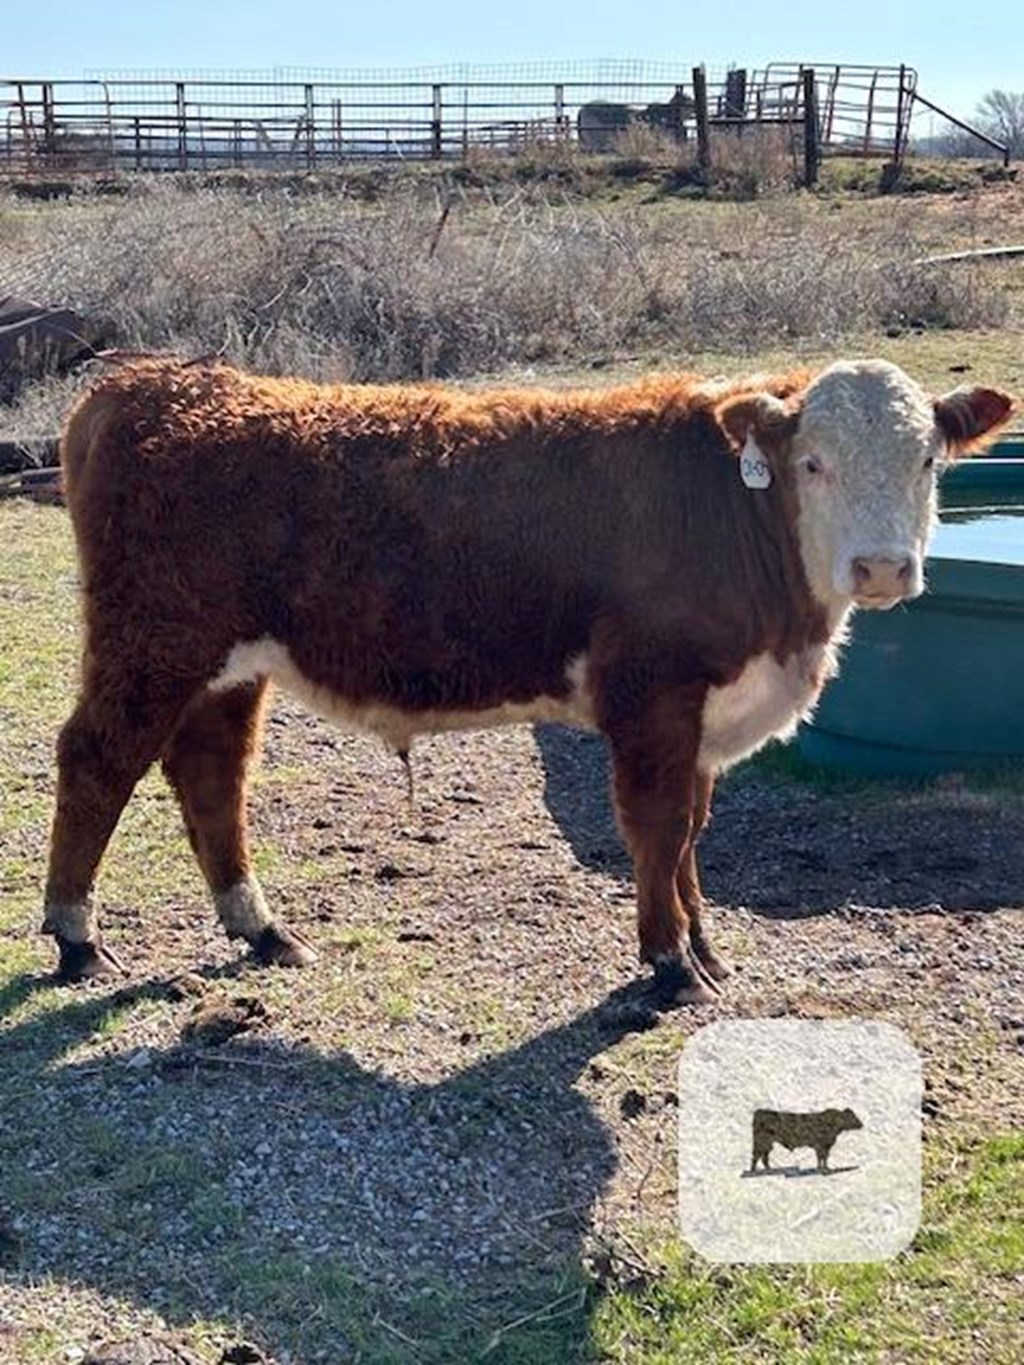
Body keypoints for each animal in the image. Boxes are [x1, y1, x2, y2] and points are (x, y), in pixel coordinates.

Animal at [44, 363, 1015, 1004]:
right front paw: (669, 962)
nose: (882, 567)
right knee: (97, 759)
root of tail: (147, 380)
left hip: (228, 663)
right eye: (814, 463)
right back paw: (77, 937)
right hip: (154, 640)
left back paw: (261, 928)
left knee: (212, 774)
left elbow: (693, 832)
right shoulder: (652, 697)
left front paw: (705, 946)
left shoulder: (704, 716)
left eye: (930, 461)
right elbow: (658, 828)